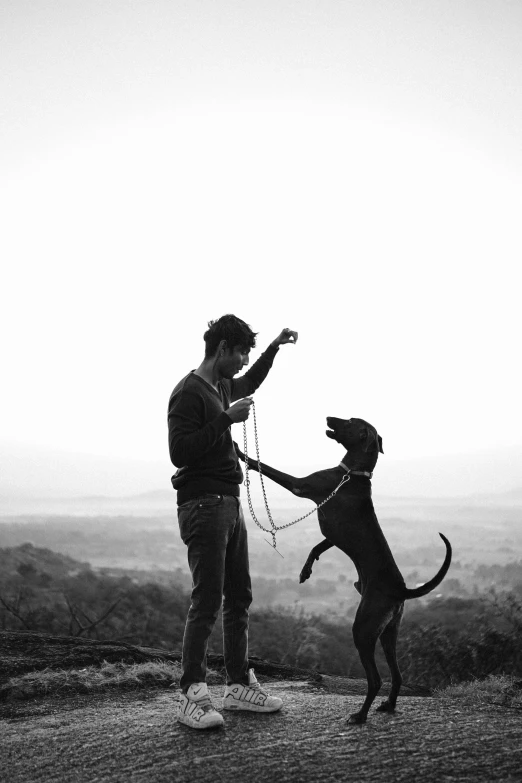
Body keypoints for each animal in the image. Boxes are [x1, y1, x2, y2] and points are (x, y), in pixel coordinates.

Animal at [234, 420, 448, 724]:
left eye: (350, 421)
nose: (328, 417)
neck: (352, 473)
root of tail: (401, 589)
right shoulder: (332, 535)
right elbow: (318, 546)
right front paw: (306, 570)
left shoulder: (301, 485)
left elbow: (266, 467)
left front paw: (240, 451)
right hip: (388, 631)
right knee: (397, 675)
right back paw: (389, 705)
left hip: (364, 629)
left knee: (376, 680)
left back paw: (360, 715)